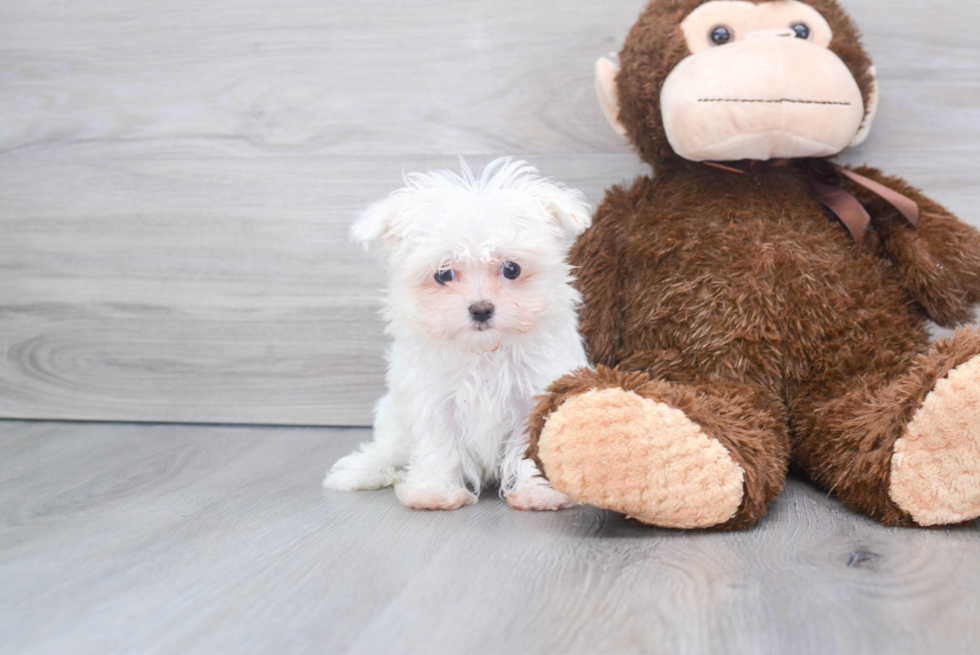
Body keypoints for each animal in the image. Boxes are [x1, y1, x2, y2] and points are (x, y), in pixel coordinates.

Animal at [326, 159, 592, 512]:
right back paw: (361, 470)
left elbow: (530, 448)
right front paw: (434, 493)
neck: (484, 351)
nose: (481, 308)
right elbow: (439, 445)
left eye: (511, 269)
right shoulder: (435, 398)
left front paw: (538, 493)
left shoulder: (534, 394)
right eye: (443, 274)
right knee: (388, 450)